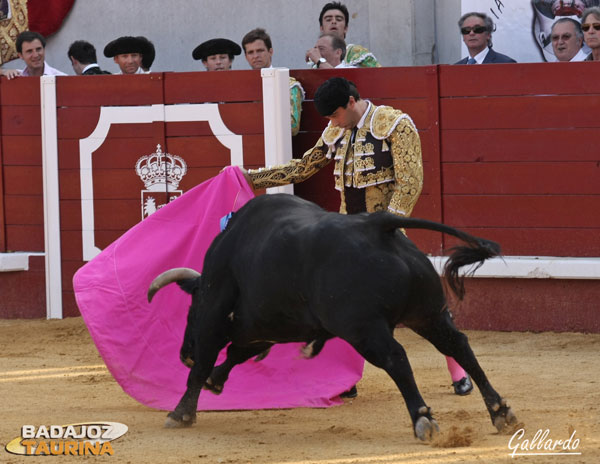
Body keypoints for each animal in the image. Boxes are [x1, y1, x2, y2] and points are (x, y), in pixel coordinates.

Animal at [146, 194, 516, 440]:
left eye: (190, 311)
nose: (183, 353)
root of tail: (378, 225)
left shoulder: (215, 312)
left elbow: (206, 363)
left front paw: (180, 413)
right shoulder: (270, 324)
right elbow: (239, 351)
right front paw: (216, 381)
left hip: (364, 329)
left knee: (396, 357)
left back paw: (422, 418)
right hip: (428, 314)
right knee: (459, 345)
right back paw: (499, 410)